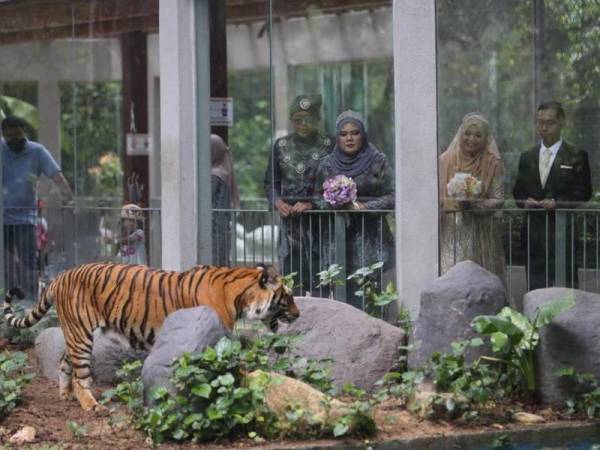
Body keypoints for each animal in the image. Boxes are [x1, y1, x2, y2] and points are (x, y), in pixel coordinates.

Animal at [2, 262, 298, 414]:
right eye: (287, 296)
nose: (297, 314)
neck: (239, 296)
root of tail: (60, 276)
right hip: (81, 335)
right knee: (80, 376)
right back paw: (91, 405)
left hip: (75, 333)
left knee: (65, 362)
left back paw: (65, 396)